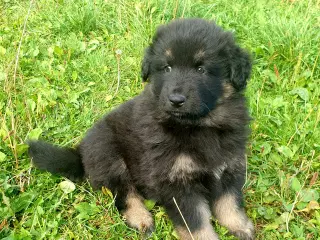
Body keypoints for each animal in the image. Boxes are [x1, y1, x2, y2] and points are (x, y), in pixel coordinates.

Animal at [29, 17, 255, 239]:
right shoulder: (177, 183)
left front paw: (240, 226)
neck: (199, 125)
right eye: (167, 68)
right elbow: (195, 222)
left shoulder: (229, 168)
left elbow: (229, 203)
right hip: (110, 157)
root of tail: (81, 152)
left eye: (201, 69)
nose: (175, 100)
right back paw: (141, 219)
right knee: (123, 194)